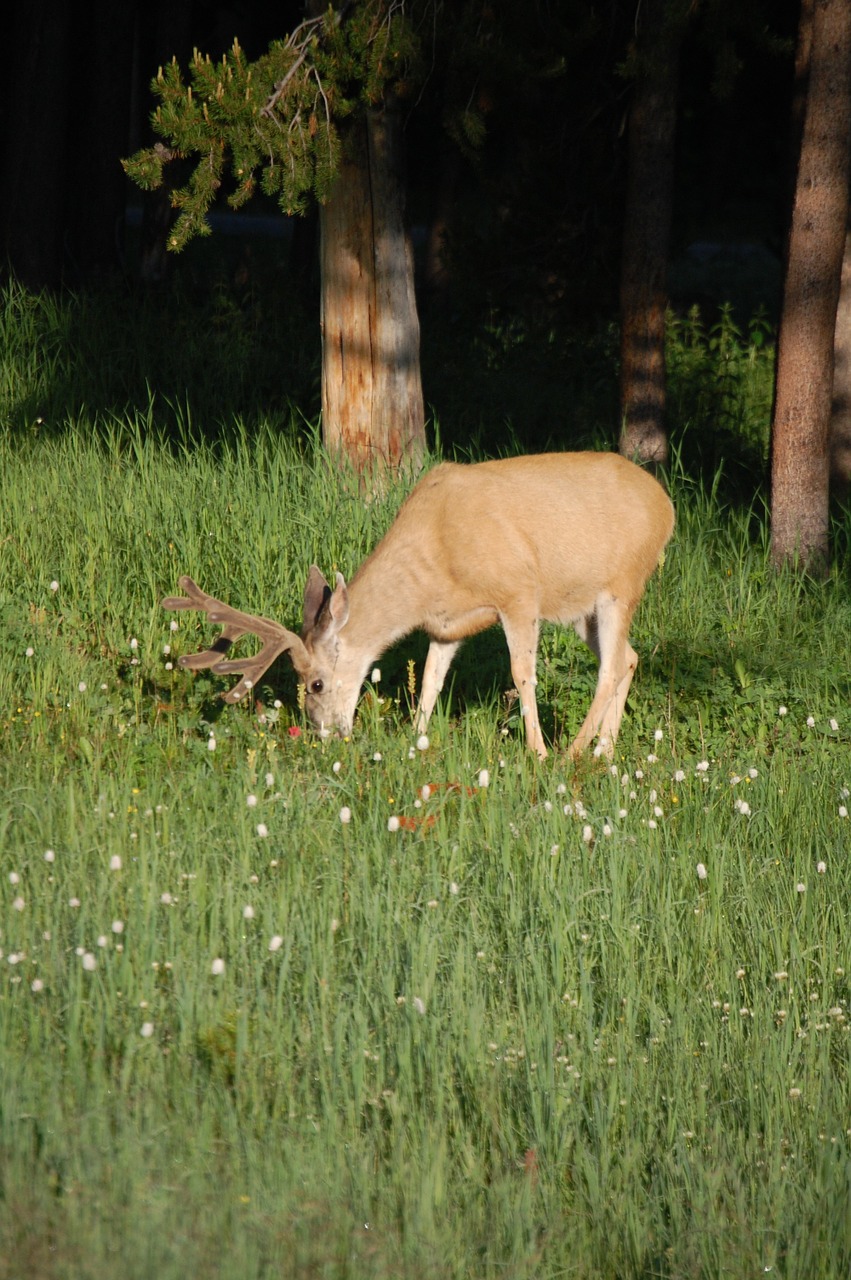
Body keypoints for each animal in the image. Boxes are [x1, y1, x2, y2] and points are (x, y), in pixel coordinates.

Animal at [163, 453, 670, 757]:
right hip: (583, 607)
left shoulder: (518, 591)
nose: (323, 734)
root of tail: (667, 507)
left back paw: (573, 754)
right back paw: (604, 753)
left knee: (610, 666)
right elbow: (429, 679)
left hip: (623, 582)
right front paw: (415, 738)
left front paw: (537, 753)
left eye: (316, 684)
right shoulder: (446, 624)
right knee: (628, 657)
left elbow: (522, 674)